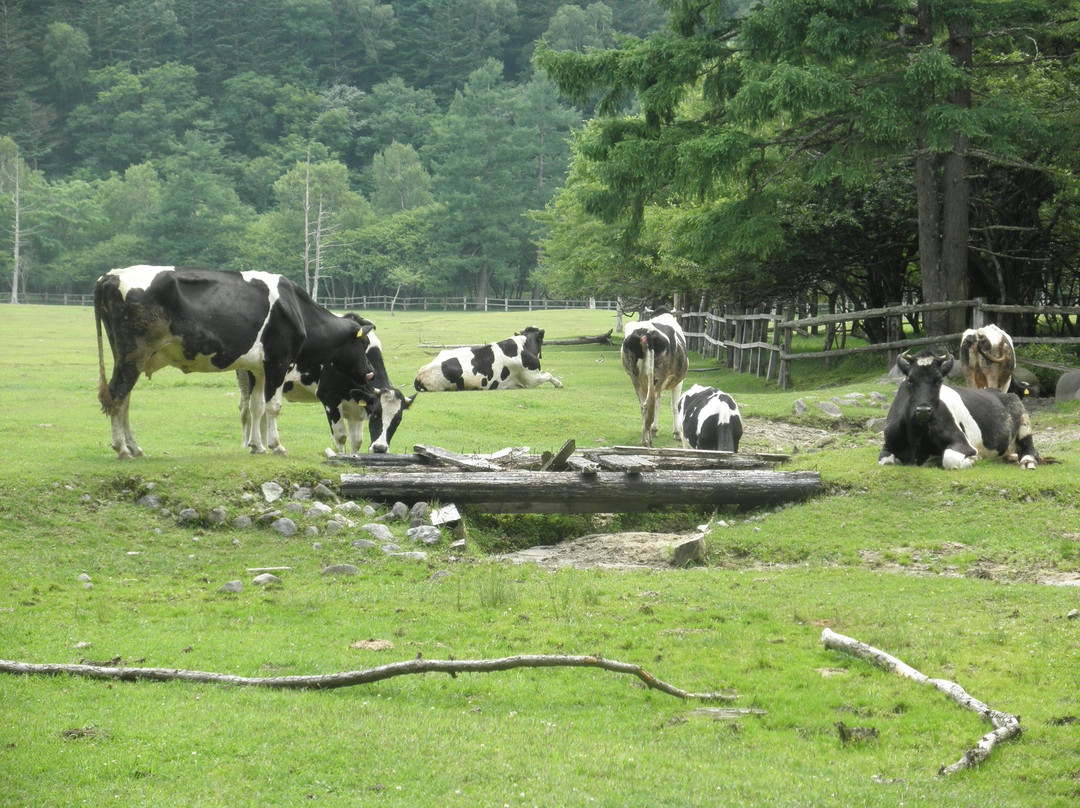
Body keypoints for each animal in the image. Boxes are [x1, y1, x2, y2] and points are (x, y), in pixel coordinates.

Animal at [97, 263, 375, 458]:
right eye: (363, 344)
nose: (370, 372)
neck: (295, 308)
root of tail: (111, 275)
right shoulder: (279, 362)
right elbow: (273, 407)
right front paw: (276, 446)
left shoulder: (258, 368)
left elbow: (256, 407)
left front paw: (257, 447)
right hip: (134, 353)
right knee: (117, 394)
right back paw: (122, 448)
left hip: (126, 356)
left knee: (123, 400)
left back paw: (134, 448)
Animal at [240, 313, 412, 453]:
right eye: (376, 414)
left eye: (398, 420)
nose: (380, 448)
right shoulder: (329, 398)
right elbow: (341, 436)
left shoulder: (357, 407)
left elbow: (356, 442)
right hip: (252, 375)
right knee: (250, 408)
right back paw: (252, 445)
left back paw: (262, 444)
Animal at [622, 308, 686, 447]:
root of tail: (648, 333)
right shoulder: (678, 381)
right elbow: (674, 405)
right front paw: (677, 433)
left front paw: (653, 430)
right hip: (657, 377)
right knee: (652, 402)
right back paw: (648, 439)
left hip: (635, 377)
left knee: (644, 405)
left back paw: (645, 438)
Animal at [881, 347, 1041, 473]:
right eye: (910, 380)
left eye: (939, 380)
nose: (923, 410)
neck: (916, 437)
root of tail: (999, 391)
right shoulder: (887, 444)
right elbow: (886, 461)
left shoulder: (962, 443)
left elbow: (949, 459)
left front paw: (974, 458)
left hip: (1024, 420)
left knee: (1030, 449)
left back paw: (1027, 462)